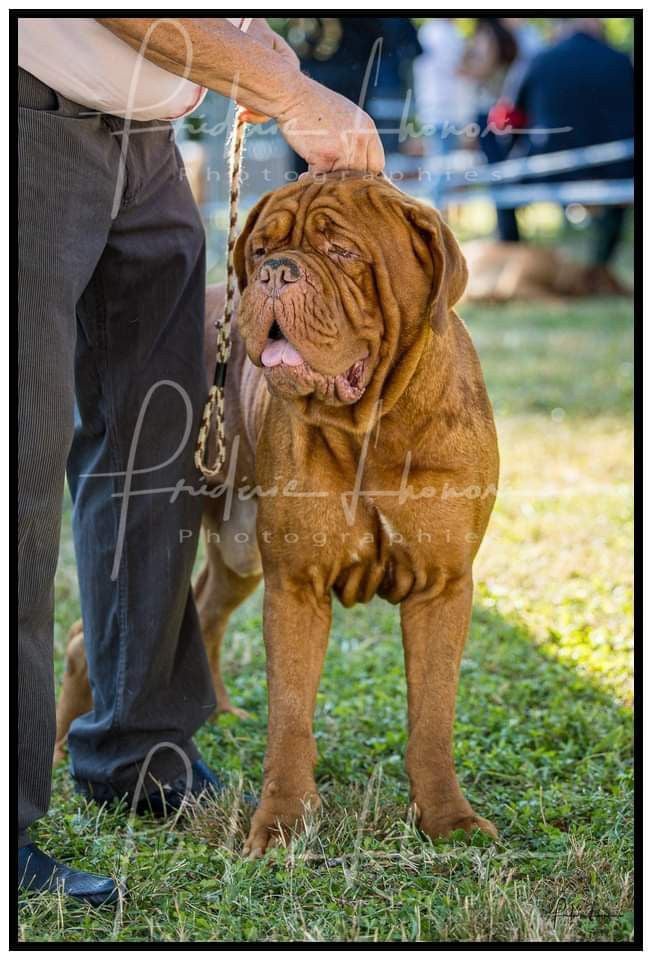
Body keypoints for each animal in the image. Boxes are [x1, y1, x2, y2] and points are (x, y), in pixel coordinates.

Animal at [54, 174, 500, 856]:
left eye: (343, 252)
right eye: (261, 249)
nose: (274, 273)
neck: (373, 429)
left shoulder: (441, 586)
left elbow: (432, 717)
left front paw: (448, 821)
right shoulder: (296, 585)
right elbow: (290, 714)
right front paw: (285, 823)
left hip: (239, 550)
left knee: (206, 608)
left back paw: (219, 711)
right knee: (96, 629)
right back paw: (60, 748)